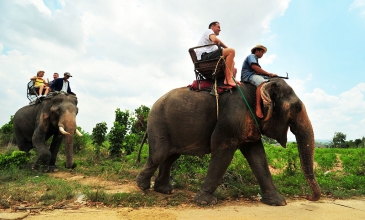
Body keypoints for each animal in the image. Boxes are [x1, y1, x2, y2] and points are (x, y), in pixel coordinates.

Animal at [136, 78, 318, 206]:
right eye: (297, 108)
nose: (309, 197)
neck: (259, 87)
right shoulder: (231, 118)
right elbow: (223, 152)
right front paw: (205, 202)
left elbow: (257, 155)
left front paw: (279, 202)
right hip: (158, 124)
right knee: (159, 155)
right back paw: (142, 187)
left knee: (171, 157)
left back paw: (163, 190)